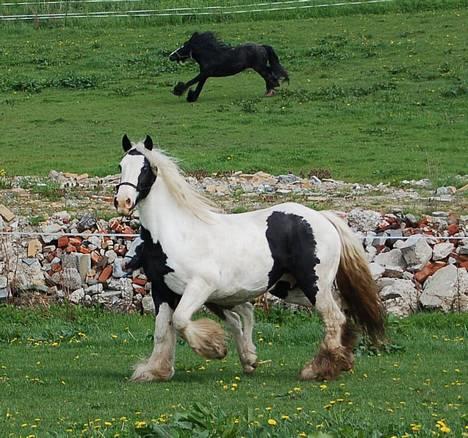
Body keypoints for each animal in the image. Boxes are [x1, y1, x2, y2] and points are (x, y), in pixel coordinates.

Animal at [113, 135, 384, 382]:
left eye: (145, 168)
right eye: (120, 165)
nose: (123, 202)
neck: (174, 233)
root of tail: (323, 217)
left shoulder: (201, 286)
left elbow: (180, 322)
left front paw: (216, 348)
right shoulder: (162, 290)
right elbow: (162, 331)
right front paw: (155, 371)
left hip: (314, 284)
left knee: (333, 318)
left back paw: (318, 369)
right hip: (292, 289)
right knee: (341, 311)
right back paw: (342, 360)